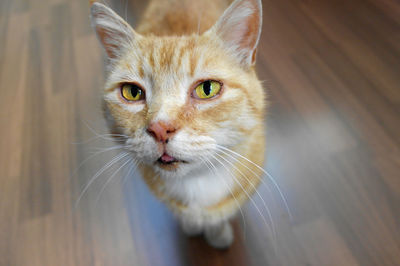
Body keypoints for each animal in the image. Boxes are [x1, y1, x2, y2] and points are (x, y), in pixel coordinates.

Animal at [89, 0, 268, 248]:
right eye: (132, 92)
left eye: (207, 89)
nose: (160, 128)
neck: (196, 181)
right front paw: (191, 226)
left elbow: (219, 218)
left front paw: (217, 233)